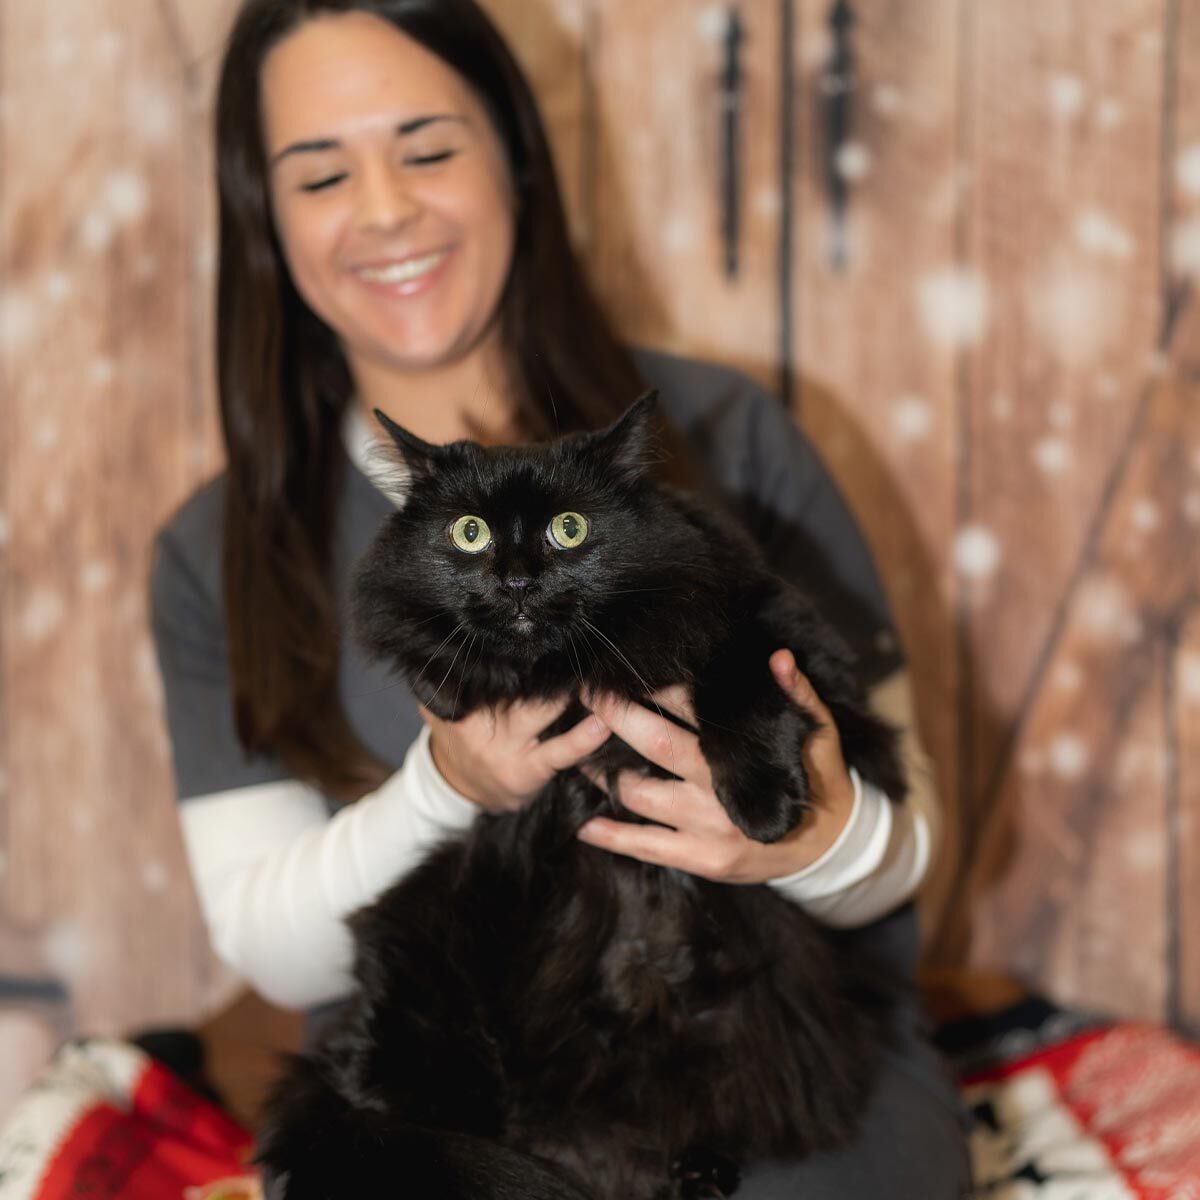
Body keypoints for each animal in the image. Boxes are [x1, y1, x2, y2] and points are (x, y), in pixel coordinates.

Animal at [255, 396, 907, 1200]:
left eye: (569, 529)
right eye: (468, 533)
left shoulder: (770, 628)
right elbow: (439, 661)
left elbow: (739, 679)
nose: (515, 579)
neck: (563, 667)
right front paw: (457, 683)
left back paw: (696, 1174)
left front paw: (760, 804)